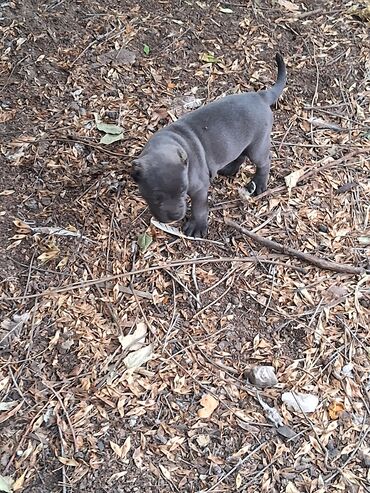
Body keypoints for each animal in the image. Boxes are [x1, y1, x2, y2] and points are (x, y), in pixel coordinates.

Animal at [132, 52, 286, 237]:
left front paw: (197, 226)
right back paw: (229, 169)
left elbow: (199, 209)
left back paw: (259, 184)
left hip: (258, 145)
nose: (175, 215)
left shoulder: (199, 189)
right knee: (240, 155)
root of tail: (260, 96)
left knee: (264, 162)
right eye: (156, 197)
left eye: (183, 191)